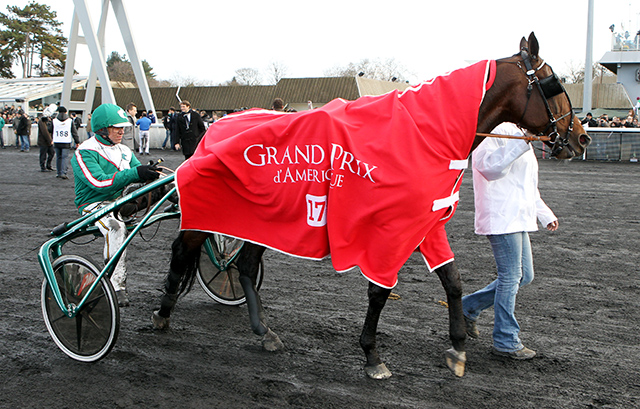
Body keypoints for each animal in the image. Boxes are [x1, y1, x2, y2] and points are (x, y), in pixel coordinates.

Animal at [150, 32, 592, 380]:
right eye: (554, 84)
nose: (580, 138)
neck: (421, 136)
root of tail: (215, 129)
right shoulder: (389, 232)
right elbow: (380, 291)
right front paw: (372, 354)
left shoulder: (427, 224)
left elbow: (452, 281)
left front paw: (457, 346)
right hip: (214, 215)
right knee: (183, 250)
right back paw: (164, 312)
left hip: (262, 221)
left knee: (242, 266)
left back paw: (264, 332)